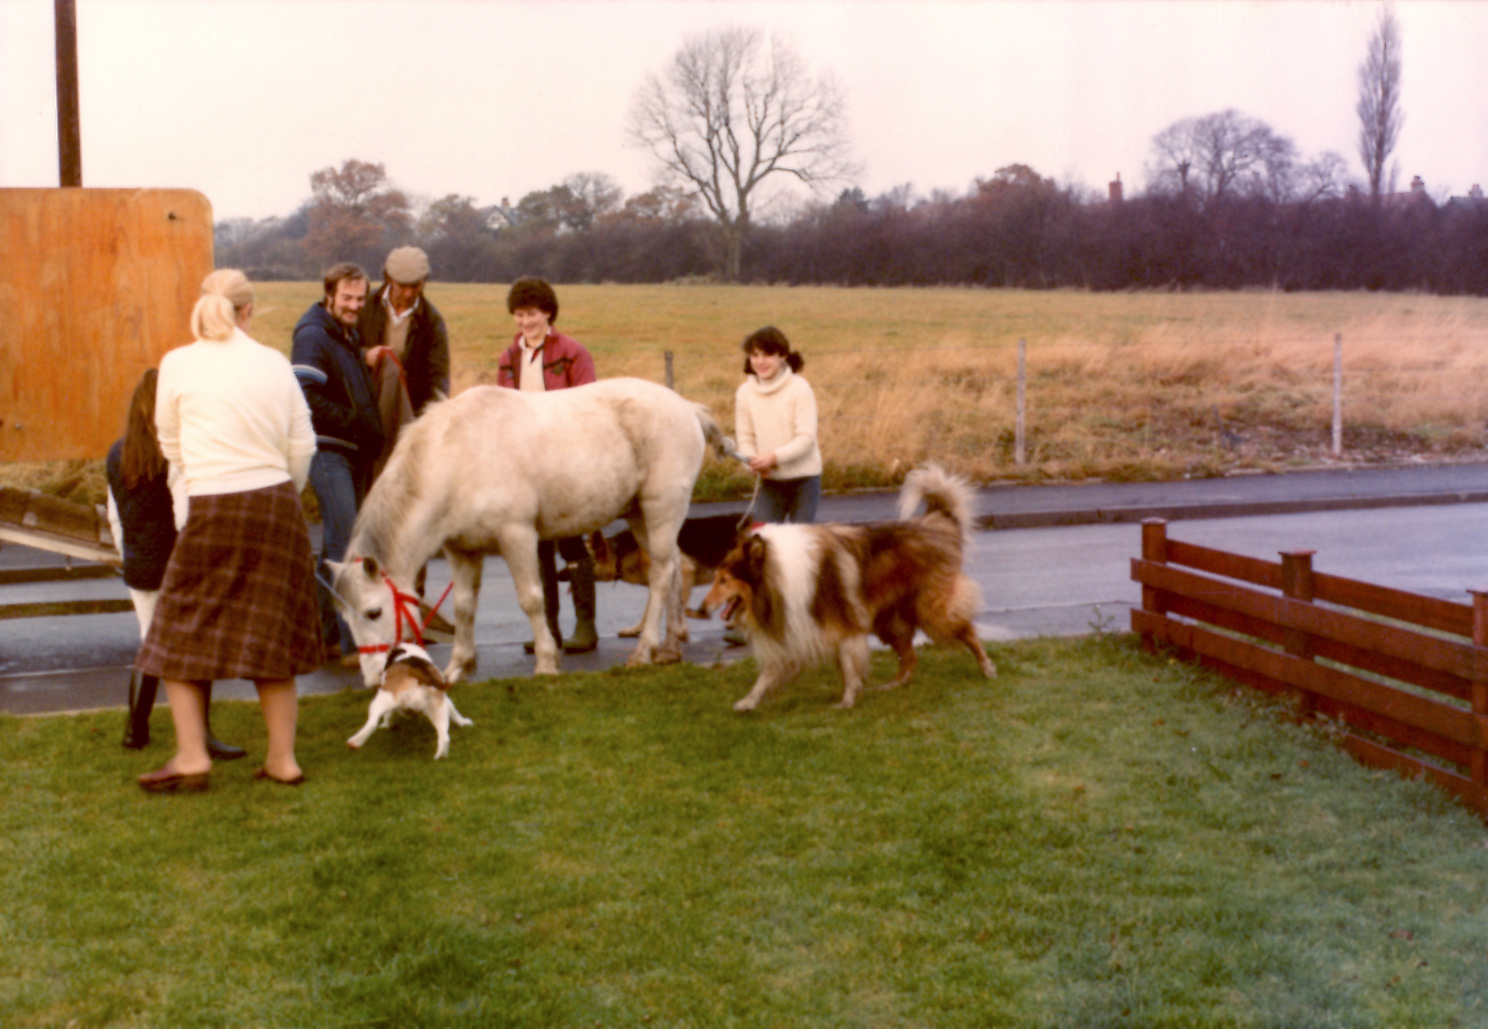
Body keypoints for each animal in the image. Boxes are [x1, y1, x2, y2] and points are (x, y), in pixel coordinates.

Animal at [334, 377, 735, 684]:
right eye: (345, 618)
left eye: (373, 612)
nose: (373, 678)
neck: (458, 457)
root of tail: (686, 407)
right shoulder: (461, 550)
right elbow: (464, 607)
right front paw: (458, 668)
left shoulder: (517, 536)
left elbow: (531, 598)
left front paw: (546, 662)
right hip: (640, 516)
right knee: (673, 568)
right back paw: (671, 646)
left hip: (662, 509)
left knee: (660, 575)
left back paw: (644, 650)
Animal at [345, 639, 473, 758]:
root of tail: (417, 673)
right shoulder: (445, 700)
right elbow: (454, 711)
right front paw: (463, 722)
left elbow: (388, 715)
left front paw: (386, 725)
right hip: (437, 708)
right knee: (444, 737)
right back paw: (439, 757)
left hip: (382, 699)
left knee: (372, 723)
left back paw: (354, 742)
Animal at [699, 463, 999, 710]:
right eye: (716, 577)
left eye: (723, 580)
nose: (701, 610)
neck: (776, 574)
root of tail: (939, 522)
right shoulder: (799, 628)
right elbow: (768, 674)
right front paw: (748, 702)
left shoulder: (843, 625)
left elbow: (848, 666)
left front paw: (847, 701)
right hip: (890, 621)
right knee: (910, 658)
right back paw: (892, 686)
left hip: (932, 610)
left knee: (968, 632)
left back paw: (987, 668)